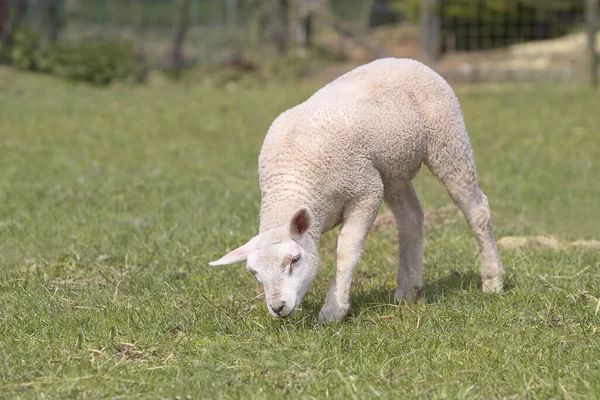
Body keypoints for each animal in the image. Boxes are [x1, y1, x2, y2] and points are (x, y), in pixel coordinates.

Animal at [209, 57, 504, 324]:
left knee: (476, 208)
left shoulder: (365, 191)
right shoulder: (370, 182)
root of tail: (404, 60)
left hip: (447, 140)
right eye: (254, 273)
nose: (278, 307)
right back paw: (407, 290)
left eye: (294, 259)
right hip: (391, 170)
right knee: (411, 218)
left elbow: (345, 250)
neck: (291, 181)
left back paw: (493, 281)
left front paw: (333, 310)